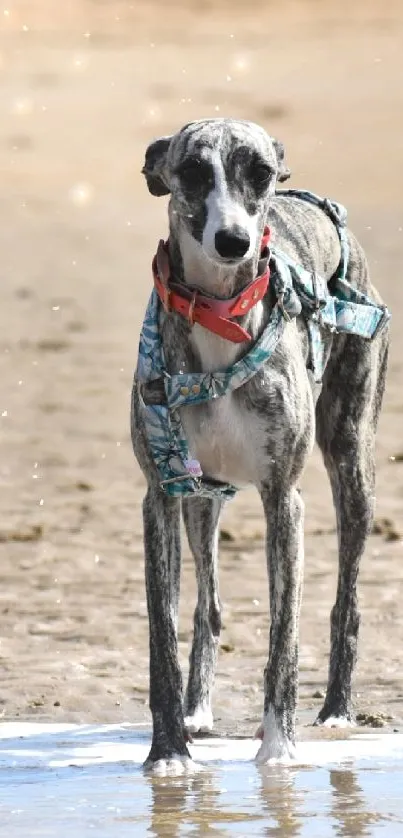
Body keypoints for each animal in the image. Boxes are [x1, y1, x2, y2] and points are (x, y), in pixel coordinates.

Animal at [131, 118, 390, 776]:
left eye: (260, 172)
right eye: (192, 170)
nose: (233, 242)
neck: (218, 314)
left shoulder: (283, 498)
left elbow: (284, 632)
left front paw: (278, 749)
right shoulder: (161, 495)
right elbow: (163, 633)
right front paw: (169, 752)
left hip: (352, 462)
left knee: (346, 600)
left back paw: (337, 710)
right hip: (202, 498)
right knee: (208, 605)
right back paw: (199, 710)